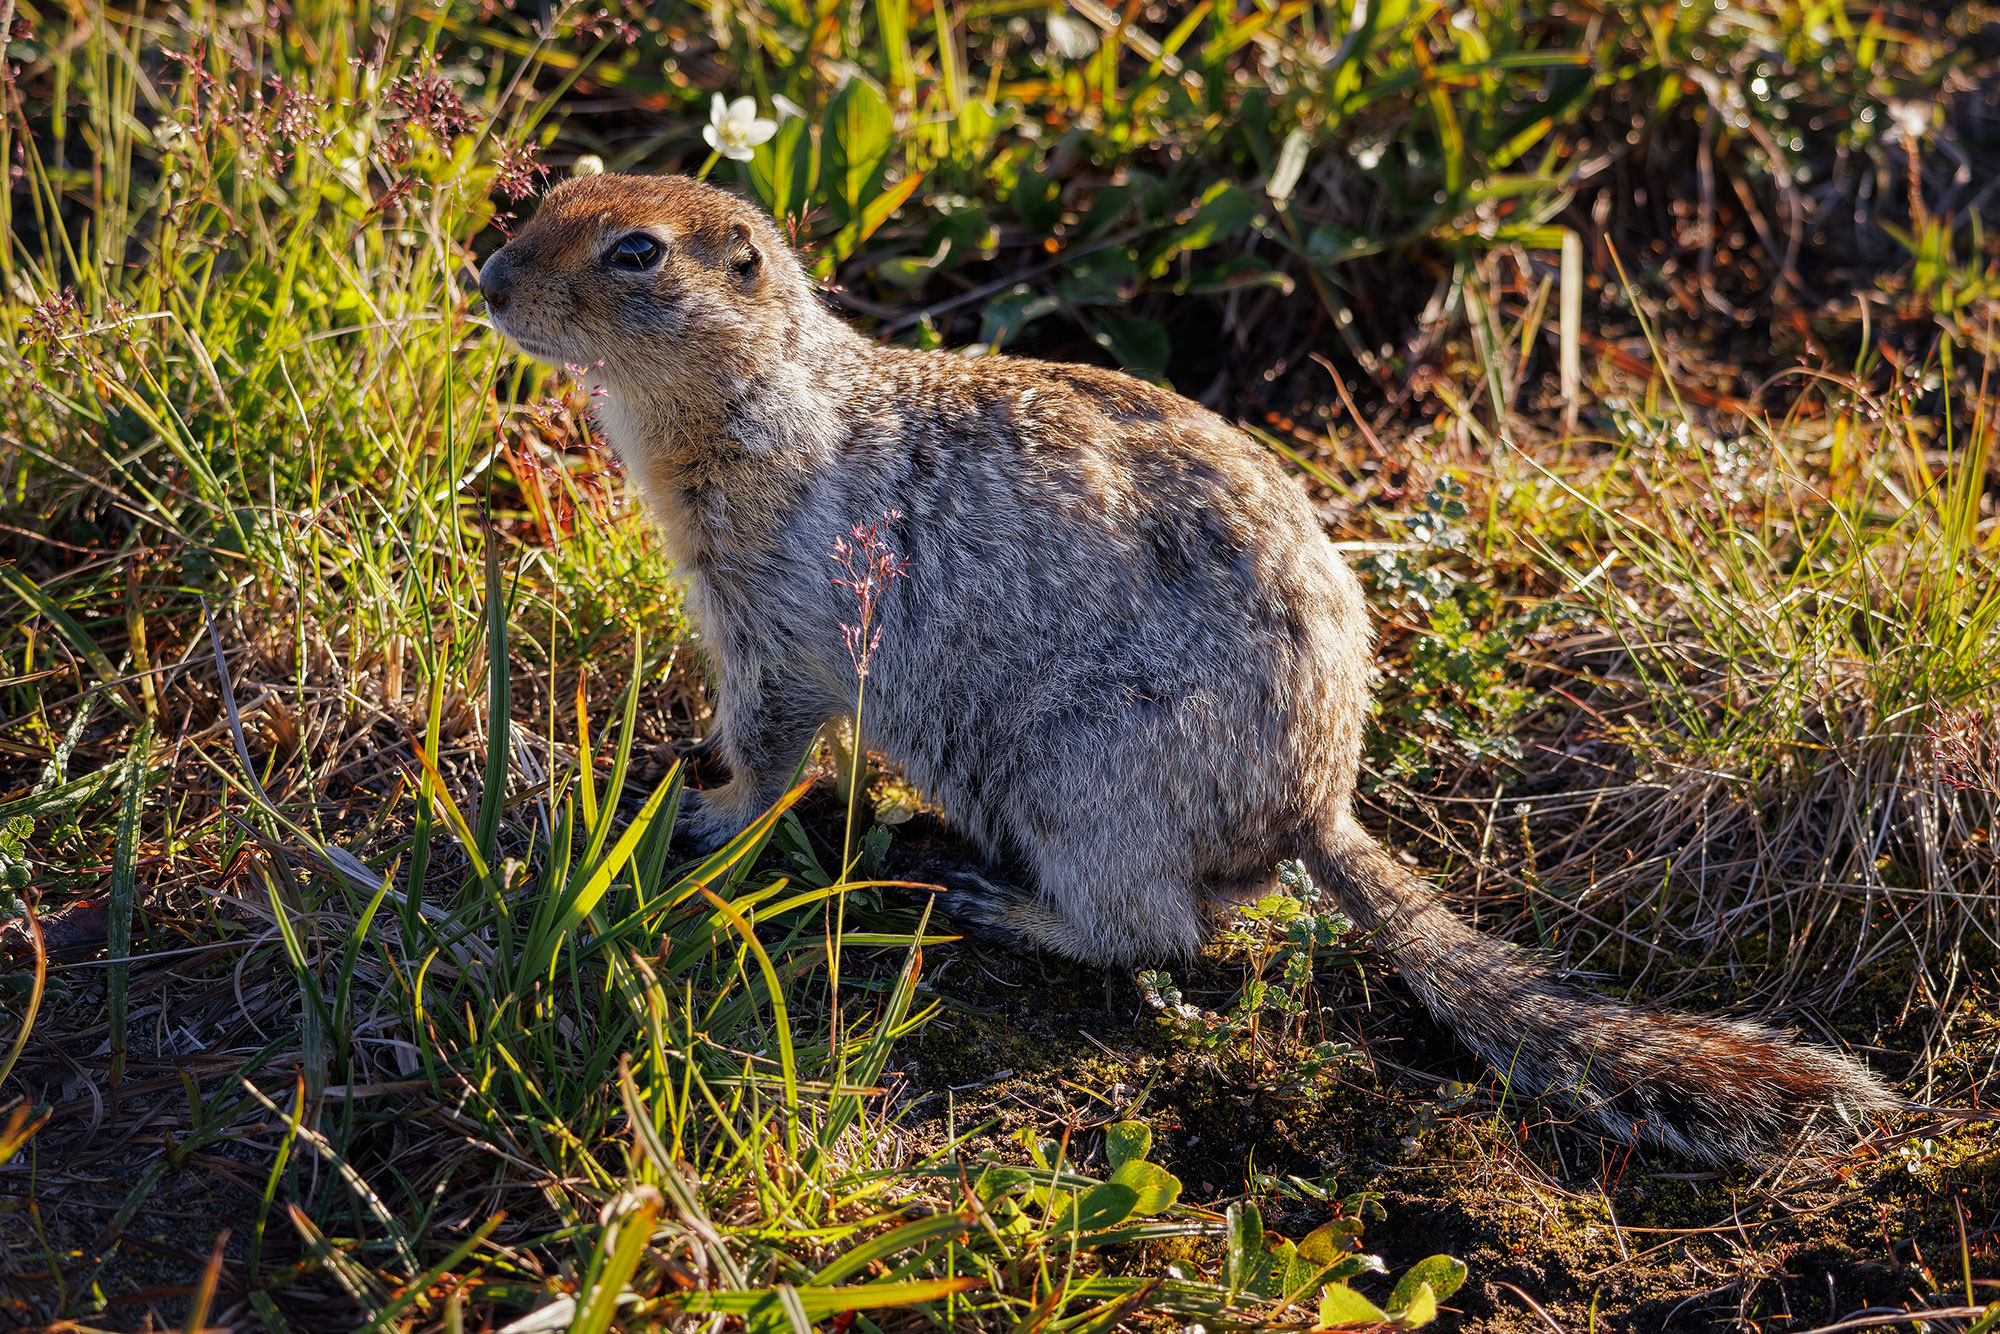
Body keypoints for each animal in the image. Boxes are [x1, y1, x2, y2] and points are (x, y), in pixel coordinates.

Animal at [480, 172, 1888, 1160]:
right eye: (545, 196)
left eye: (636, 249)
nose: (485, 276)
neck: (750, 396)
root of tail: (1318, 803)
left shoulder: (773, 607)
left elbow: (771, 736)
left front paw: (697, 810)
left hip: (1084, 775)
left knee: (1154, 929)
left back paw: (999, 902)